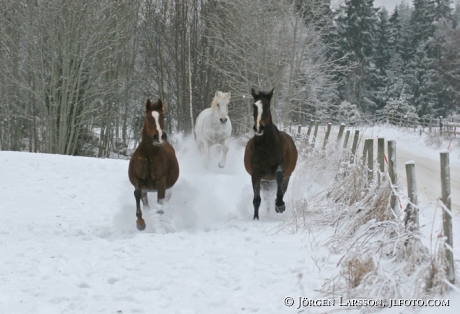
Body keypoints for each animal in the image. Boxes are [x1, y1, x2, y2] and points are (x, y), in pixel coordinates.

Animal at [130, 98, 181, 231]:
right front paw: (140, 223)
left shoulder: (161, 183)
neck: (149, 157)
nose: (158, 137)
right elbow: (137, 194)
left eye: (163, 117)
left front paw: (159, 226)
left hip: (169, 188)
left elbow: (160, 206)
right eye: (148, 118)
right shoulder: (139, 181)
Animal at [244, 87, 298, 221]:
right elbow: (257, 199)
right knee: (267, 198)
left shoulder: (280, 167)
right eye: (254, 106)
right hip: (266, 182)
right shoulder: (256, 173)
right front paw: (256, 219)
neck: (266, 146)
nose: (259, 128)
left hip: (286, 177)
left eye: (267, 107)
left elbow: (278, 177)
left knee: (282, 189)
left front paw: (280, 205)